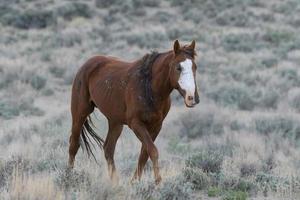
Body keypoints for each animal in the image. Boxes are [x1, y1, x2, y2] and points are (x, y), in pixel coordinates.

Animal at [68, 39, 199, 184]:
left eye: (195, 67)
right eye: (178, 68)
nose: (192, 98)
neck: (149, 87)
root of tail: (87, 64)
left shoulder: (156, 126)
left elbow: (144, 154)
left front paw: (134, 182)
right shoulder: (136, 124)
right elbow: (152, 151)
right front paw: (158, 182)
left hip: (115, 122)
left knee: (108, 149)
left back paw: (115, 183)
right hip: (80, 113)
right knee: (74, 144)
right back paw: (68, 176)